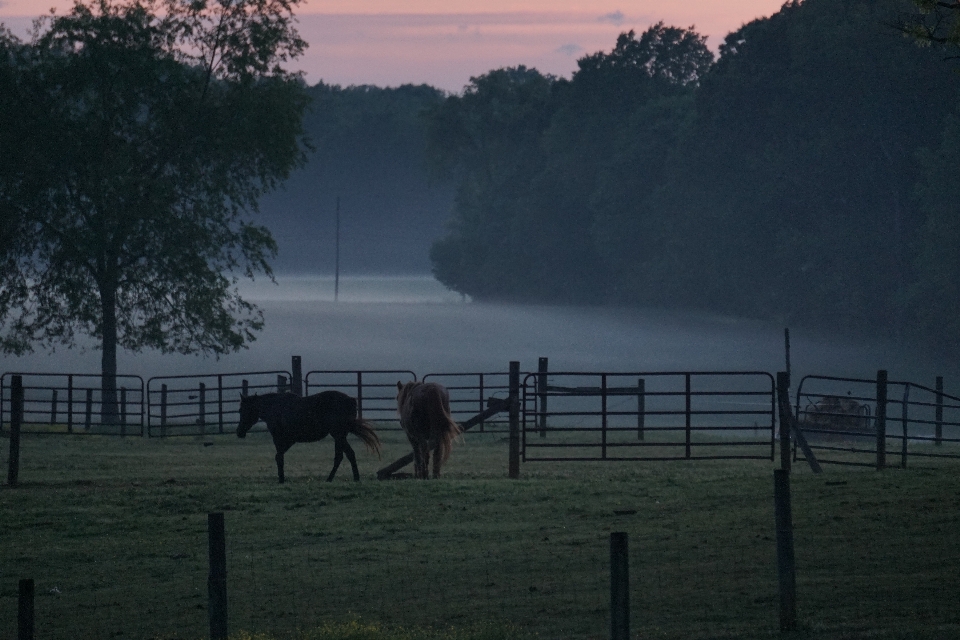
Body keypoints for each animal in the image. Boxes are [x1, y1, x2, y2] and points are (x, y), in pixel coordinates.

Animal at [236, 390, 382, 484]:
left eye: (241, 410)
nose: (239, 432)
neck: (274, 407)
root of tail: (350, 400)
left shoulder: (279, 439)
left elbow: (279, 457)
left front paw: (281, 479)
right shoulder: (289, 440)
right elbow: (279, 456)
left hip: (338, 434)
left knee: (347, 454)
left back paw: (348, 478)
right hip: (339, 436)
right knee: (342, 456)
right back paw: (336, 478)